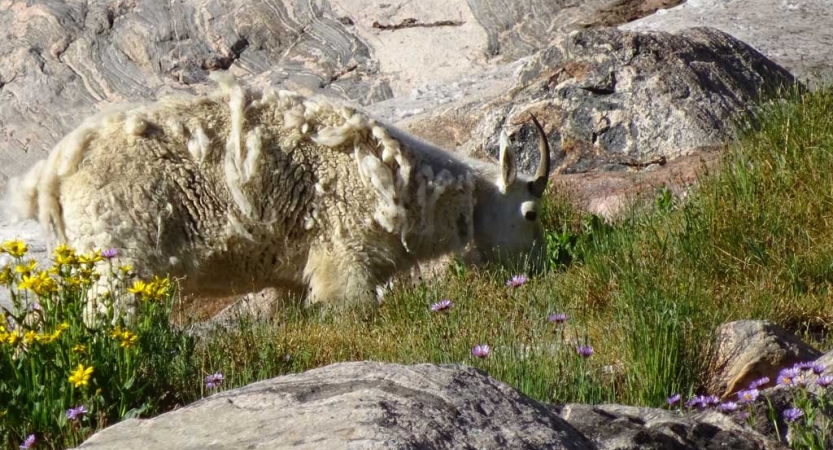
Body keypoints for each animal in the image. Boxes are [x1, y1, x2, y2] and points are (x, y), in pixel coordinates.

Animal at [6, 74, 552, 312]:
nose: (540, 267)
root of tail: (51, 175)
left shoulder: (291, 272)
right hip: (116, 251)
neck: (405, 182)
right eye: (530, 213)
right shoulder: (342, 250)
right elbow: (347, 305)